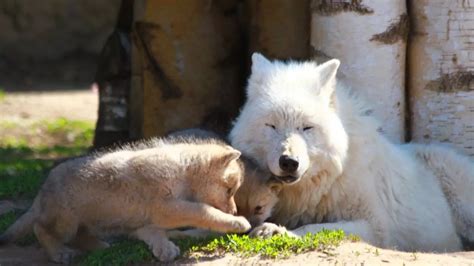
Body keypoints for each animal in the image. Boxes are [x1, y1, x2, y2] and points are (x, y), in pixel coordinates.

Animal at [230, 52, 474, 251]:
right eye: (272, 126)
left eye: (307, 127)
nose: (289, 161)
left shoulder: (375, 225)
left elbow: (316, 228)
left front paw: (278, 231)